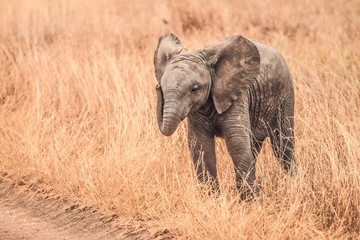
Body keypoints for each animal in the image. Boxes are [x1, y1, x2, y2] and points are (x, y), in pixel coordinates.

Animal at [153, 32, 296, 200]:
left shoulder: (237, 95)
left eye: (194, 89)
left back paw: (295, 183)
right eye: (162, 88)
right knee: (255, 146)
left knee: (282, 145)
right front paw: (211, 200)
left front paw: (251, 202)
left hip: (285, 95)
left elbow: (237, 143)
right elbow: (201, 146)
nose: (157, 87)